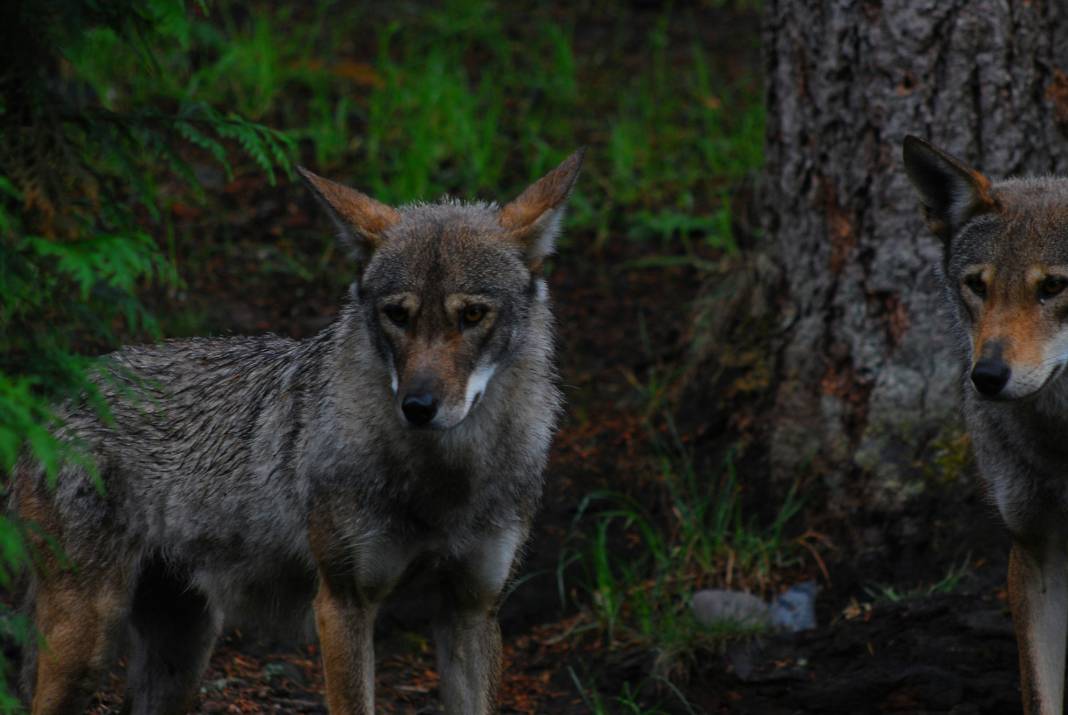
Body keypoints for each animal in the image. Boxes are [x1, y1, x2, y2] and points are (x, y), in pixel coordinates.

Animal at [10, 147, 585, 709]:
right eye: (397, 315)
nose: (418, 406)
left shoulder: (472, 609)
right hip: (90, 647)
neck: (443, 482)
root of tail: (55, 402)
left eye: (472, 316)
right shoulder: (342, 604)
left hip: (181, 656)